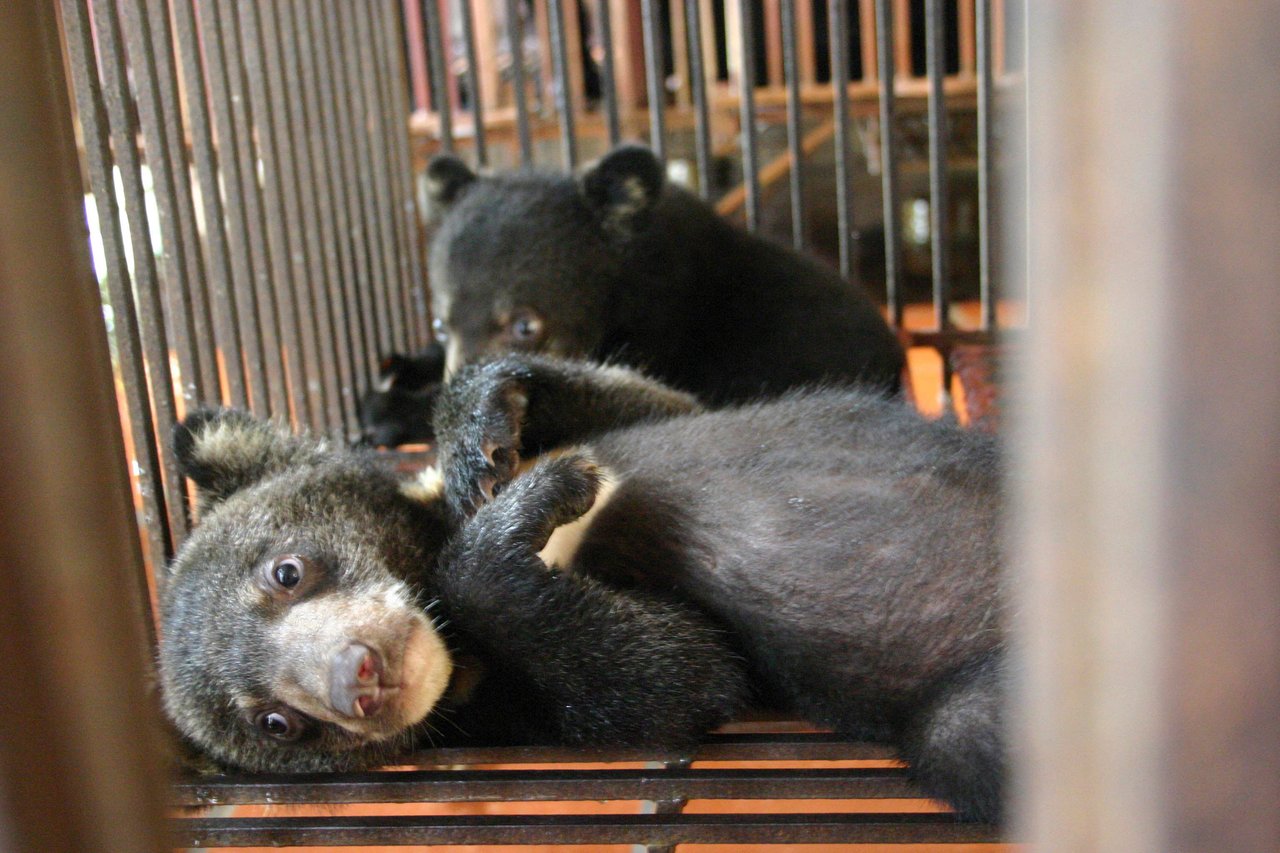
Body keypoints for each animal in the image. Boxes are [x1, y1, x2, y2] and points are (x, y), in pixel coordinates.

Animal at [159, 354, 1005, 822]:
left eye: (286, 570)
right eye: (277, 723)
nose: (355, 674)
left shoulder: (633, 417)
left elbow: (652, 396)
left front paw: (484, 428)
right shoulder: (528, 707)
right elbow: (682, 676)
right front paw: (529, 509)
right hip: (963, 717)